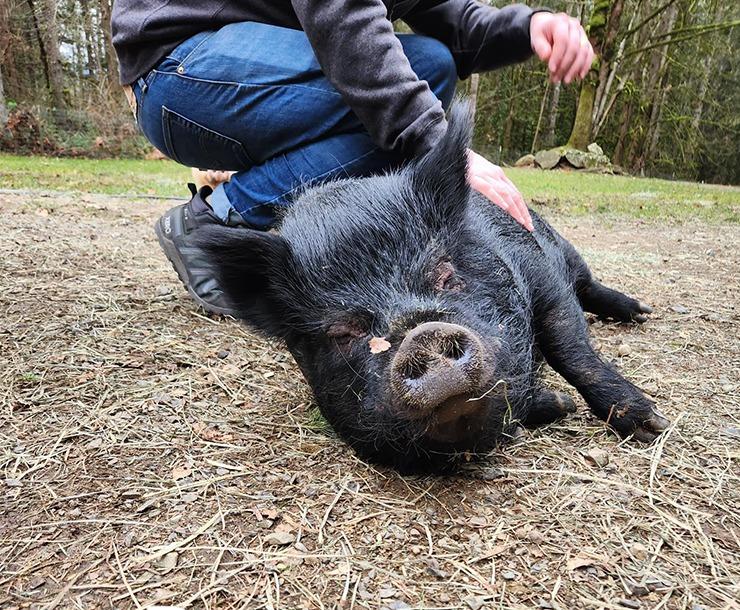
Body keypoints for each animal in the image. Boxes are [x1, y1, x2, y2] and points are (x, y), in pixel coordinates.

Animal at [199, 102, 670, 472]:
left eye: (445, 275)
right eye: (341, 331)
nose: (422, 336)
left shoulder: (541, 273)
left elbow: (569, 345)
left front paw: (652, 425)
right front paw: (558, 404)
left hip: (562, 248)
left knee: (588, 286)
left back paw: (641, 312)